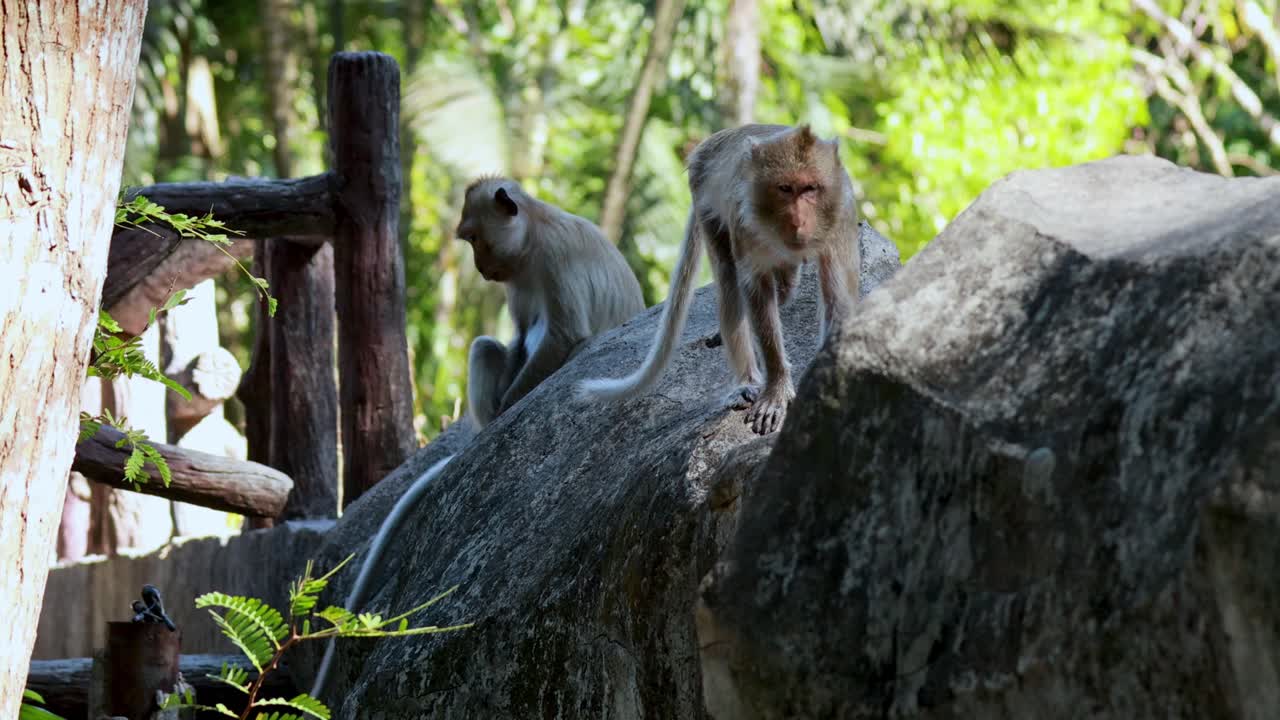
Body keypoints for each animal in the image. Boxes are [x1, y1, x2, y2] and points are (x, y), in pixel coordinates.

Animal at [311, 177, 645, 699]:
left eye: (473, 238)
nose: (479, 266)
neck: (531, 238)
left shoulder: (554, 259)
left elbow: (562, 334)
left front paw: (513, 407)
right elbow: (520, 338)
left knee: (573, 345)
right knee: (488, 347)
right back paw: (487, 432)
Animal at [577, 124, 861, 435]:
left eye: (811, 189)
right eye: (785, 189)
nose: (798, 221)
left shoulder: (841, 216)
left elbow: (837, 298)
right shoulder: (742, 219)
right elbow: (756, 292)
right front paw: (776, 391)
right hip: (704, 200)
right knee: (728, 278)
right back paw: (746, 382)